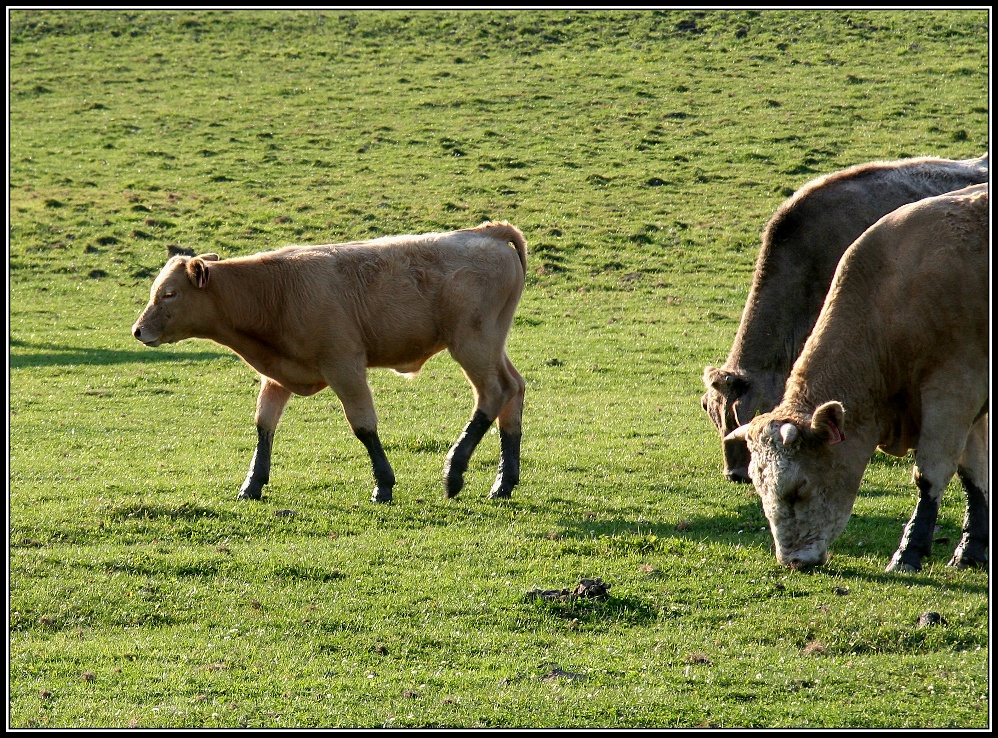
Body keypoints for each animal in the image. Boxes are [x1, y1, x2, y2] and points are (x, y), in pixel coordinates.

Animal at [133, 221, 532, 504]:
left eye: (169, 294)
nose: (138, 330)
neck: (274, 290)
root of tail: (487, 232)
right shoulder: (276, 376)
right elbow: (264, 425)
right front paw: (252, 484)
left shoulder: (345, 366)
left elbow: (364, 426)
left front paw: (383, 486)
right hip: (490, 346)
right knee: (514, 390)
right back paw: (503, 482)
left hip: (472, 343)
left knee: (493, 394)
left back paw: (455, 471)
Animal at [728, 183, 992, 568]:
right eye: (761, 490)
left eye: (798, 488)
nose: (793, 560)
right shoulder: (969, 407)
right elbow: (973, 475)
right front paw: (971, 550)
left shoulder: (954, 393)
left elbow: (931, 474)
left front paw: (909, 551)